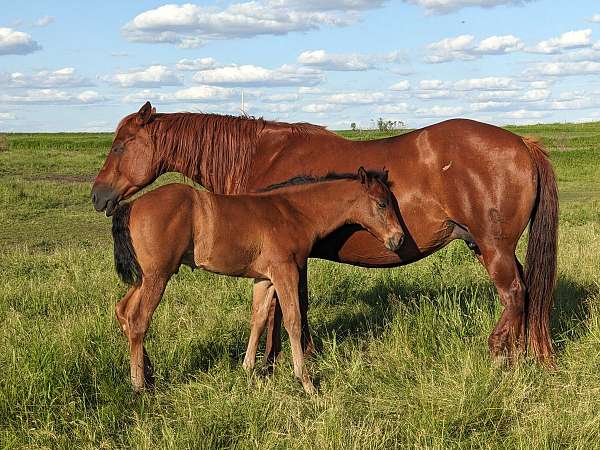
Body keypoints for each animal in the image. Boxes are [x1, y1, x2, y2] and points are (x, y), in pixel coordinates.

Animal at [92, 101, 556, 362]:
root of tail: (521, 144)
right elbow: (287, 308)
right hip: (489, 247)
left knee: (515, 294)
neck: (262, 155)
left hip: (493, 249)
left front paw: (276, 365)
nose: (98, 196)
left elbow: (286, 310)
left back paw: (499, 353)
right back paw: (528, 358)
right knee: (527, 292)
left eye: (120, 145)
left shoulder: (286, 259)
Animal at [112, 169, 404, 394]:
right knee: (138, 319)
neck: (293, 212)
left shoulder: (264, 279)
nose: (398, 238)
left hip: (144, 278)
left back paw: (145, 375)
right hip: (157, 277)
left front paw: (248, 369)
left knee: (123, 311)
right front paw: (306, 382)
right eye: (381, 204)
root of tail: (132, 205)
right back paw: (140, 385)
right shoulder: (286, 271)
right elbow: (293, 321)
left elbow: (259, 318)